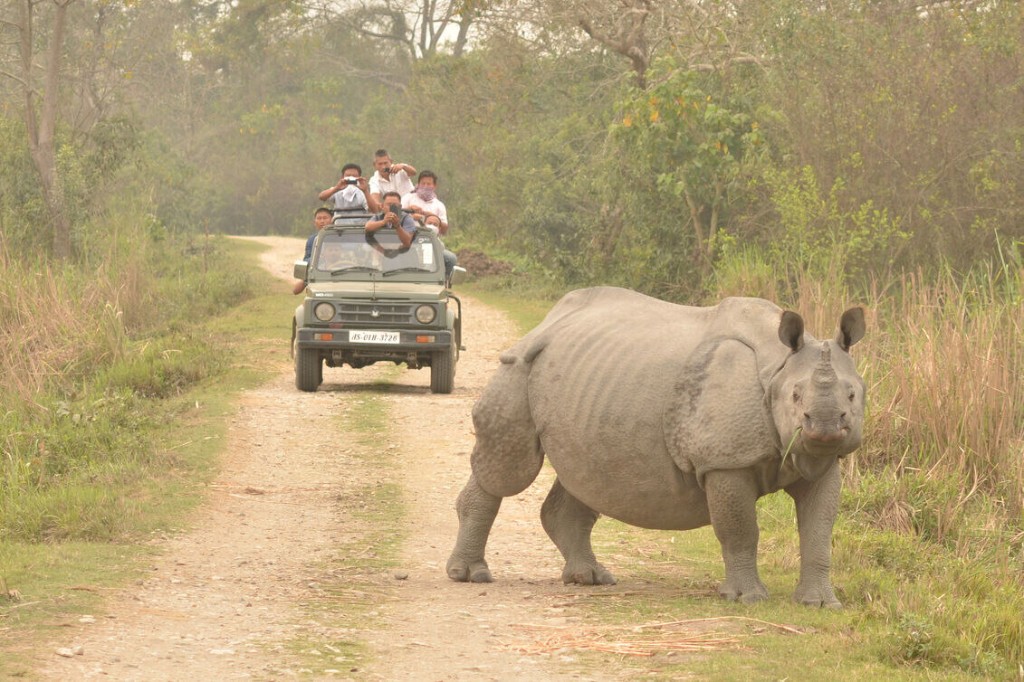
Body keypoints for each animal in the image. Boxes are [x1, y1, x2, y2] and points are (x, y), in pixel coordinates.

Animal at [447, 286, 866, 607]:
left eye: (852, 395)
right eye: (795, 396)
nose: (826, 425)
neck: (779, 366)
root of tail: (548, 320)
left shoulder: (822, 461)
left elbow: (818, 531)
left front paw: (821, 603)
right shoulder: (725, 462)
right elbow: (741, 530)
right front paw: (748, 599)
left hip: (587, 382)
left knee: (583, 476)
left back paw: (591, 578)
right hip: (518, 365)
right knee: (510, 471)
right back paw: (470, 576)